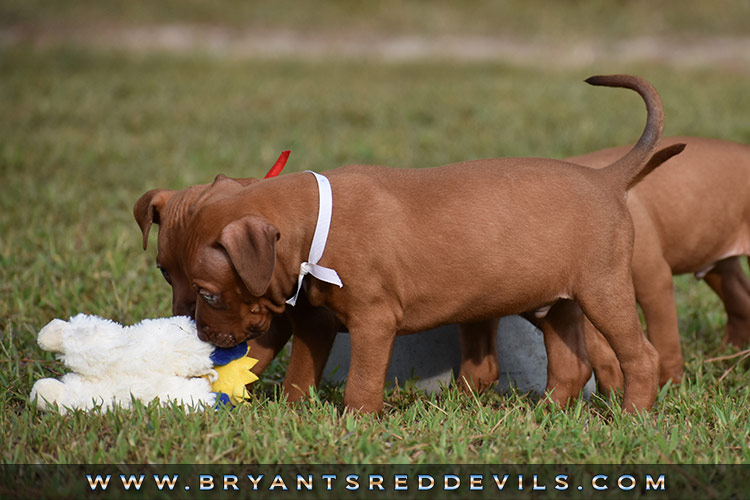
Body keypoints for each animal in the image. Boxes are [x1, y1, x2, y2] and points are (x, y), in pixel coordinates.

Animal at [184, 74, 688, 412]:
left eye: (207, 294)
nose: (202, 335)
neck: (317, 224)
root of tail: (608, 179)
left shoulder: (374, 320)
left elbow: (361, 381)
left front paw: (355, 423)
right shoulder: (319, 320)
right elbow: (302, 372)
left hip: (603, 290)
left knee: (641, 356)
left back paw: (633, 416)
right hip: (554, 302)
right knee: (570, 366)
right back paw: (542, 418)